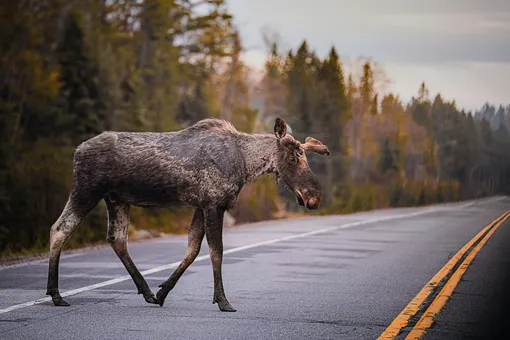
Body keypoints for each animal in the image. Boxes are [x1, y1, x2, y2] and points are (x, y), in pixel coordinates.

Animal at [47, 117, 330, 310]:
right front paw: (222, 300)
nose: (314, 197)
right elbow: (216, 252)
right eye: (293, 158)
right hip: (87, 190)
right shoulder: (214, 204)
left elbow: (192, 249)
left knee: (117, 238)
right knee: (59, 228)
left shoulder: (201, 205)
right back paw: (56, 294)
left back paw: (147, 292)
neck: (245, 164)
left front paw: (163, 292)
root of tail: (77, 151)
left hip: (117, 199)